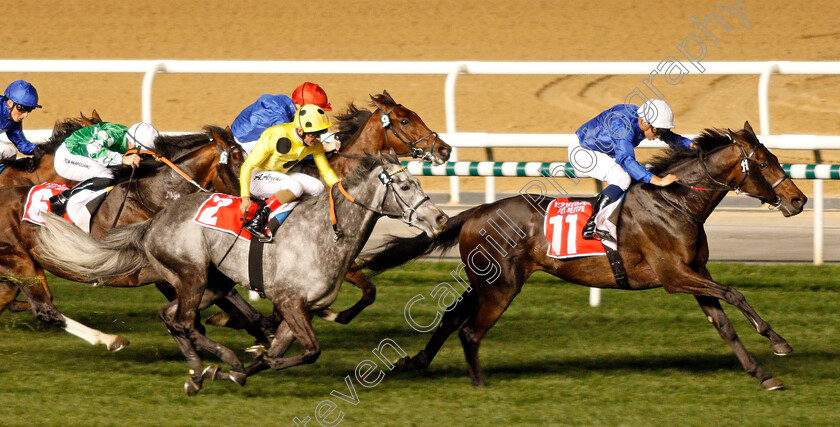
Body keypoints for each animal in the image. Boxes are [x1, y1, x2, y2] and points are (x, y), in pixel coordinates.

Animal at [36, 153, 450, 394]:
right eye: (404, 184)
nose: (440, 219)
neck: (328, 231)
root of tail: (154, 221)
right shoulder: (289, 301)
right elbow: (309, 351)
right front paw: (241, 365)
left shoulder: (303, 309)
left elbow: (287, 350)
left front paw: (240, 369)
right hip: (192, 274)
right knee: (183, 320)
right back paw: (217, 361)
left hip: (212, 284)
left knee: (170, 317)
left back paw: (198, 371)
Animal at [360, 123, 808, 392]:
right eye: (764, 162)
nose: (798, 200)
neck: (676, 202)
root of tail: (476, 212)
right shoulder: (674, 276)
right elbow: (734, 293)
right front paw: (779, 342)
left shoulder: (693, 273)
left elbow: (724, 324)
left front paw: (763, 373)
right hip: (501, 286)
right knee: (470, 330)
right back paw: (480, 384)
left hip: (485, 281)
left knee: (452, 318)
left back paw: (416, 362)